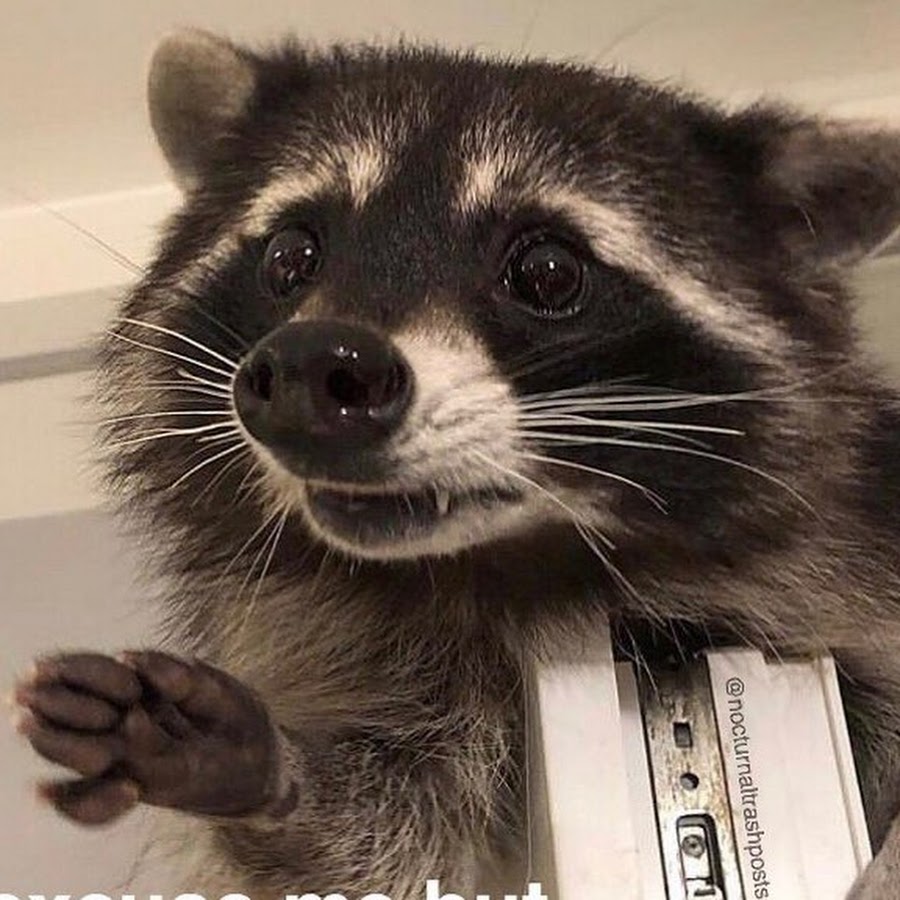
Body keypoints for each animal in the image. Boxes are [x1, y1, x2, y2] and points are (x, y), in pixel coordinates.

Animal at [12, 28, 900, 900]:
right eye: (292, 254)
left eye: (548, 271)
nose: (309, 367)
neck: (501, 571)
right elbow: (389, 843)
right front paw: (276, 777)